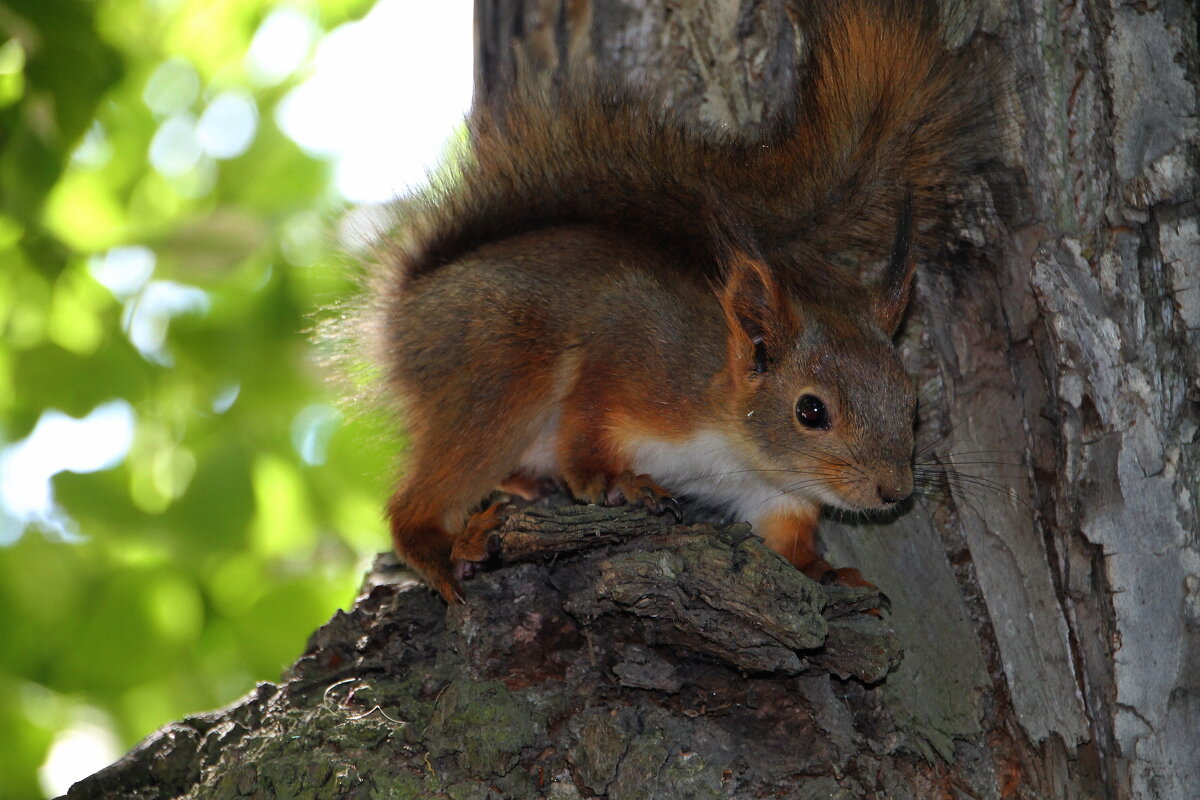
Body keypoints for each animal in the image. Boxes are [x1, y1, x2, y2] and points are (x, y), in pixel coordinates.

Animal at [357, 0, 993, 599]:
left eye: (912, 402)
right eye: (811, 411)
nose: (894, 491)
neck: (733, 440)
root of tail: (406, 305)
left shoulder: (775, 496)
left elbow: (789, 542)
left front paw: (827, 572)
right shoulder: (632, 350)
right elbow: (585, 425)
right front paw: (613, 480)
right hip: (496, 370)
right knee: (418, 500)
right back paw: (444, 548)